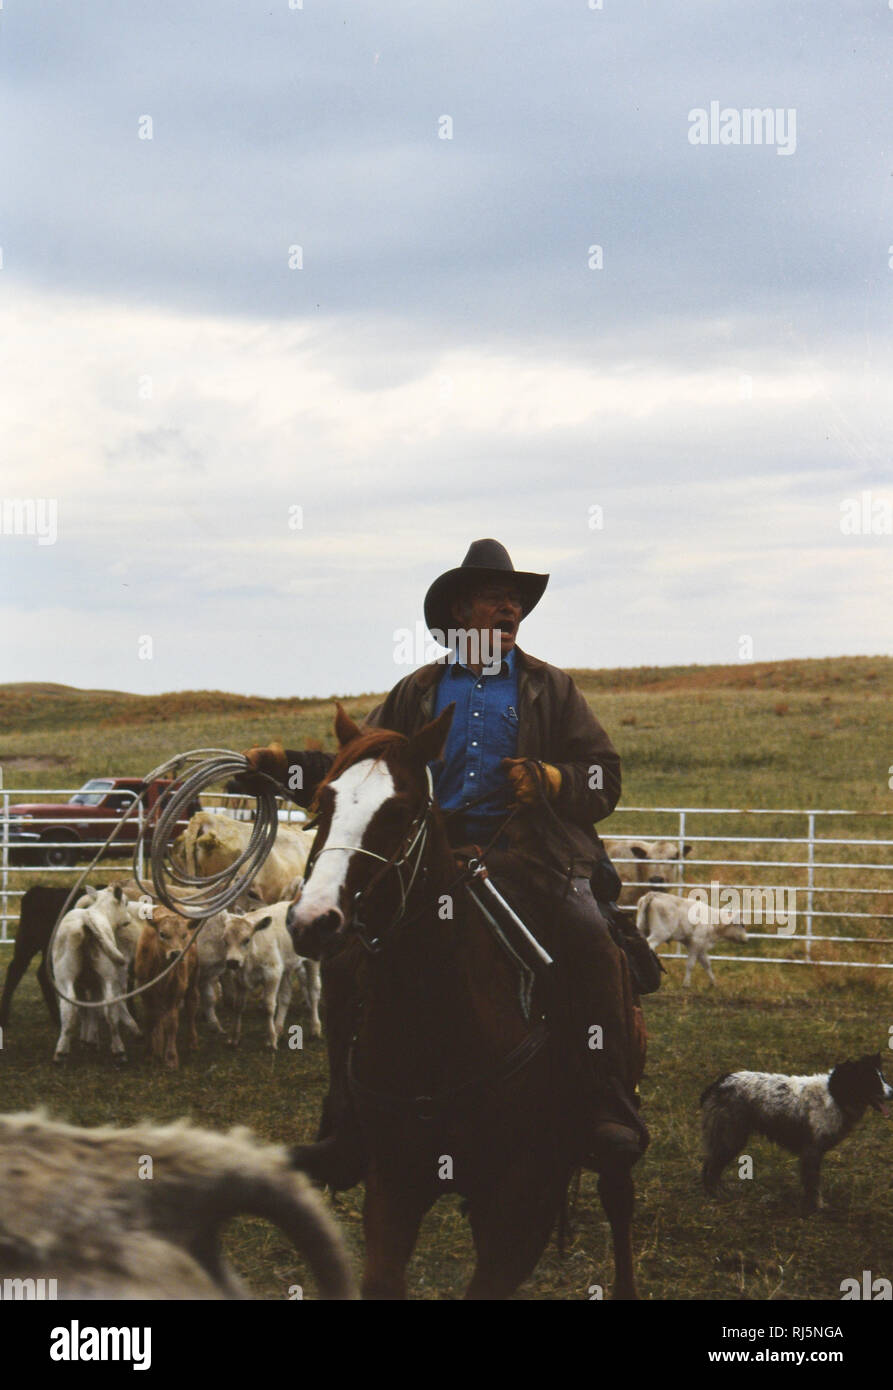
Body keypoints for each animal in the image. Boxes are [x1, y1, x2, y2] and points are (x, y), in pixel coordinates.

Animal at [132, 906, 197, 1067]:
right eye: (162, 934)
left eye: (184, 935)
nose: (176, 954)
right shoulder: (145, 993)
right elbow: (150, 1020)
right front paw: (149, 1053)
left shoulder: (176, 992)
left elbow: (171, 1023)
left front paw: (171, 1058)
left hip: (193, 979)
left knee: (191, 1004)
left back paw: (192, 1041)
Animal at [285, 706, 634, 1301]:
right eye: (324, 801)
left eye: (399, 812)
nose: (313, 920)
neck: (437, 1024)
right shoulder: (394, 1181)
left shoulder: (525, 1197)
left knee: (620, 1198)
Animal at [698, 1050, 884, 1206]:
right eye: (872, 1080)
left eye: (882, 1077)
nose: (889, 1093)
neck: (835, 1094)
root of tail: (719, 1083)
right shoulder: (811, 1151)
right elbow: (812, 1184)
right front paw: (816, 1206)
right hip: (730, 1137)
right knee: (711, 1169)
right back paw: (716, 1194)